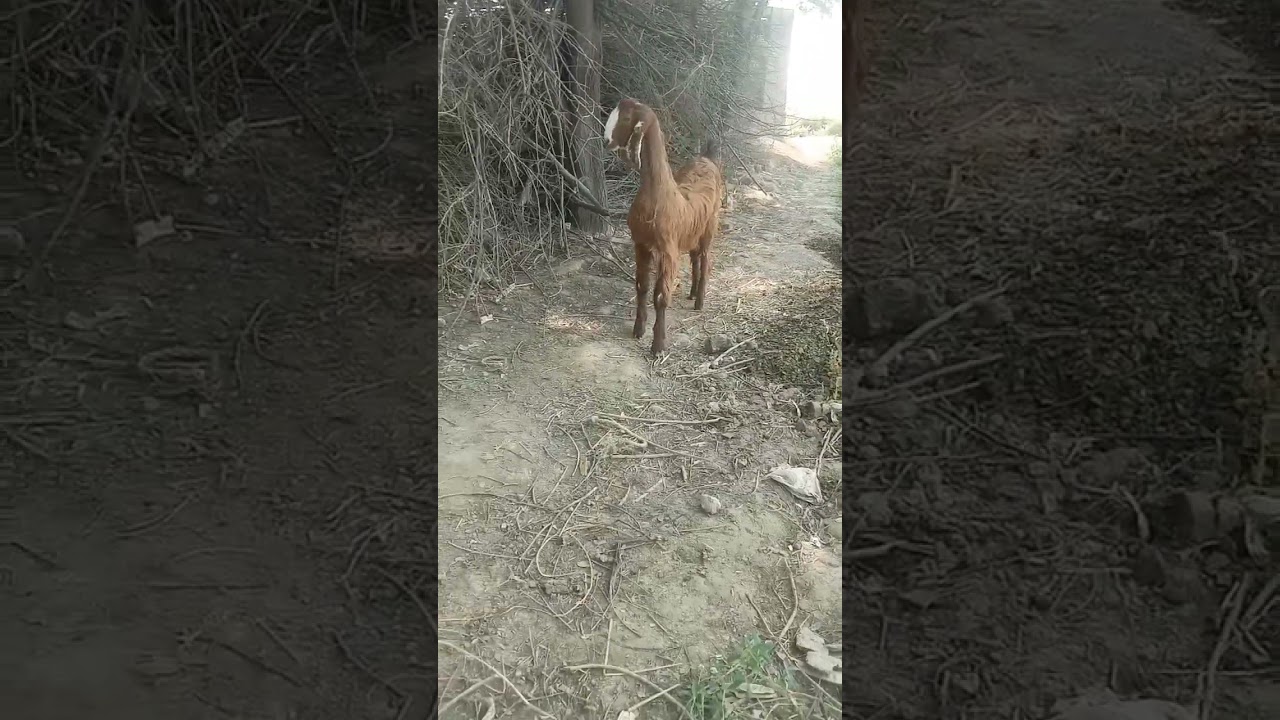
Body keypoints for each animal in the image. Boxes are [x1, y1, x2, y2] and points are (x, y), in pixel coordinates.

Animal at [603, 98, 724, 355]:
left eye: (627, 118)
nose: (607, 141)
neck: (659, 194)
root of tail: (707, 158)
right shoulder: (641, 244)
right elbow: (641, 286)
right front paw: (638, 330)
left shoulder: (668, 250)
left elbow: (660, 296)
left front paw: (658, 344)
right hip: (690, 234)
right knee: (695, 257)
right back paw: (692, 292)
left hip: (710, 226)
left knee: (706, 259)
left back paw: (699, 301)